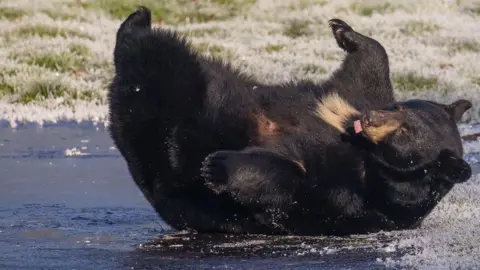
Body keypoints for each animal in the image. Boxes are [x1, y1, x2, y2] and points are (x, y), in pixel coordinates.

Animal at [109, 6, 472, 236]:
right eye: (399, 111)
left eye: (406, 133)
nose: (369, 120)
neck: (368, 156)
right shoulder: (351, 100)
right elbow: (366, 72)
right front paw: (343, 30)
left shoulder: (356, 195)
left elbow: (292, 184)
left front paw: (219, 166)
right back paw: (138, 20)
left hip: (183, 98)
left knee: (161, 66)